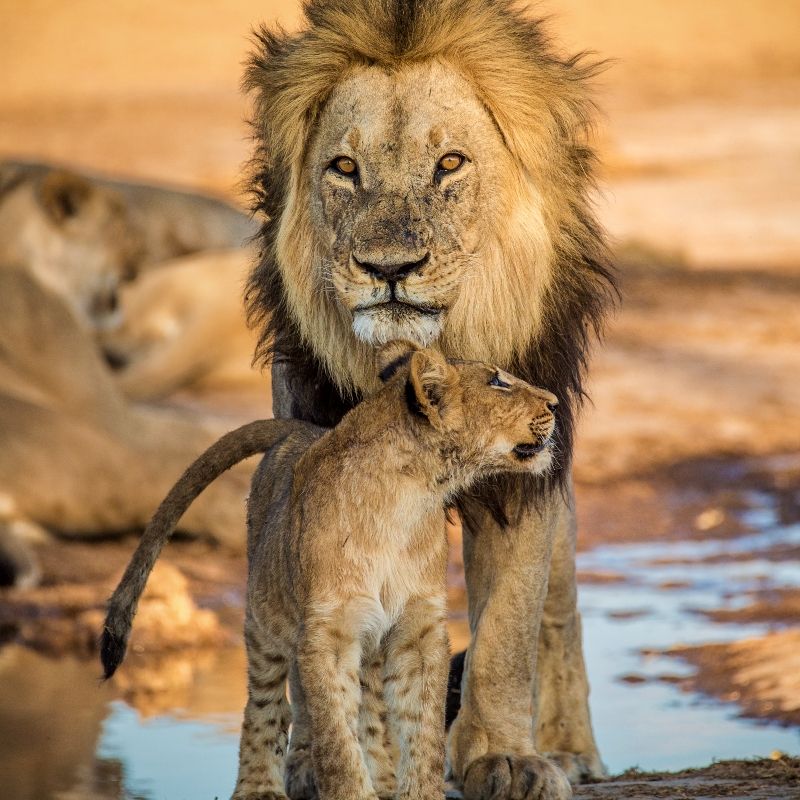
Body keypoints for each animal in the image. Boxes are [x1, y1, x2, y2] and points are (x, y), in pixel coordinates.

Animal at [101, 340, 564, 800]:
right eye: (498, 382)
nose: (555, 403)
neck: (407, 498)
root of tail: (297, 429)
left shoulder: (419, 630)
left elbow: (422, 733)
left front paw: (417, 791)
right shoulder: (328, 634)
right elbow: (337, 740)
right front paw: (352, 790)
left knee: (371, 712)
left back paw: (383, 779)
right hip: (265, 617)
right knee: (267, 702)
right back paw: (258, 787)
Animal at [242, 0, 616, 794]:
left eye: (449, 164)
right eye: (344, 169)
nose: (389, 268)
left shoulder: (524, 472)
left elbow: (509, 627)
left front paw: (506, 757)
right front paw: (318, 759)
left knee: (560, 609)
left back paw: (571, 746)